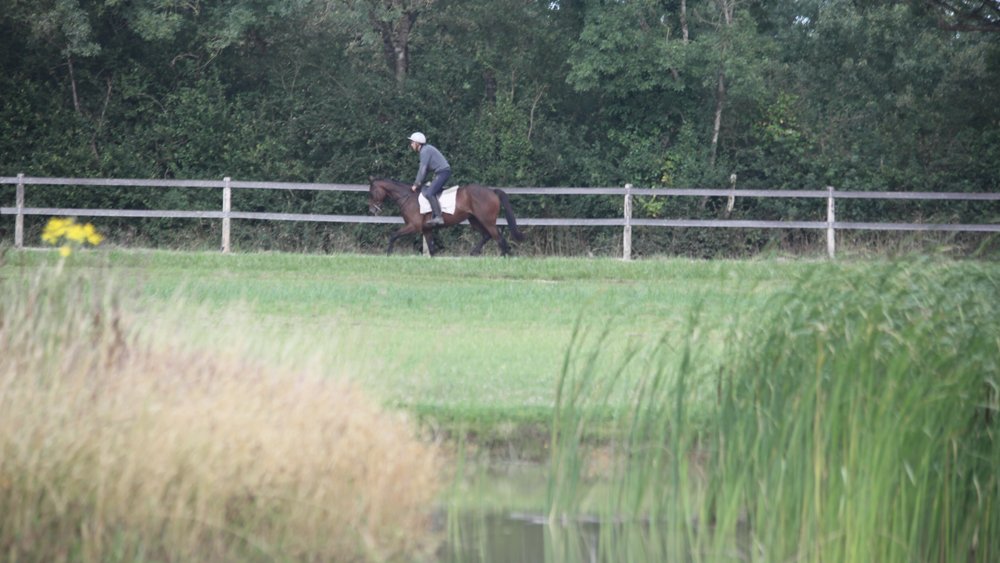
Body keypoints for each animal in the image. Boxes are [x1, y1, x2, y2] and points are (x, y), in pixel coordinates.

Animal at [367, 177, 525, 256]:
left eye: (372, 191)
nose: (371, 209)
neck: (408, 197)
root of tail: (492, 191)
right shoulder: (427, 230)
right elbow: (431, 249)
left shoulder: (413, 226)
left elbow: (393, 235)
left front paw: (388, 254)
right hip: (474, 219)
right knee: (486, 236)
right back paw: (474, 253)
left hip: (487, 221)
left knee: (498, 238)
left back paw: (505, 256)